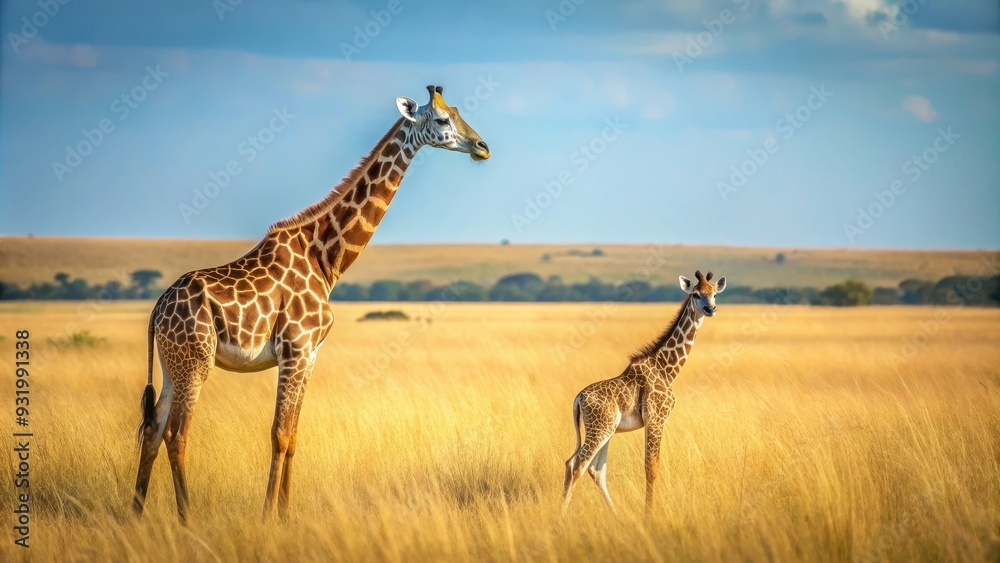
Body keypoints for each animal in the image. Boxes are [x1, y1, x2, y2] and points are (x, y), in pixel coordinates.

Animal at [132, 85, 490, 522]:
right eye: (441, 120)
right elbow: (279, 432)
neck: (326, 257)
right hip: (195, 364)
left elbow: (294, 434)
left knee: (153, 430)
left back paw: (135, 514)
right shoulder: (295, 349)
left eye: (457, 111)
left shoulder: (311, 354)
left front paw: (286, 515)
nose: (482, 147)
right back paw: (186, 518)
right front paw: (268, 516)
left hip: (172, 366)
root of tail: (156, 311)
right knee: (177, 433)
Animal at [561, 270, 726, 514]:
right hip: (599, 429)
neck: (666, 370)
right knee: (578, 465)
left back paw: (616, 514)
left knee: (592, 468)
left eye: (714, 293)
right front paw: (649, 515)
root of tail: (578, 399)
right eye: (696, 294)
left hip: (606, 431)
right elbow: (652, 468)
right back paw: (560, 516)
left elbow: (649, 467)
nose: (710, 309)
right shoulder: (656, 419)